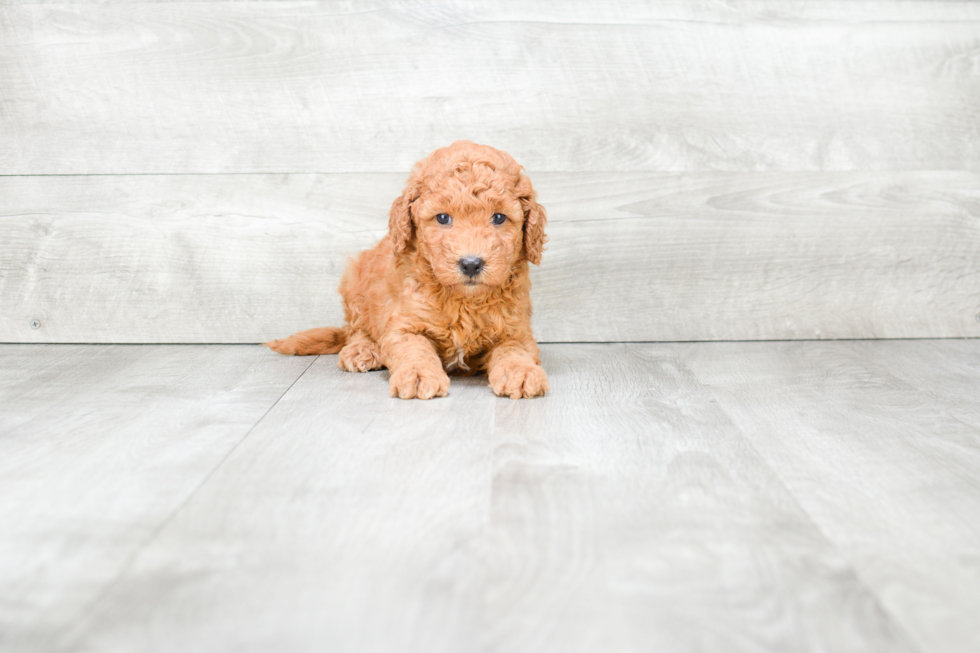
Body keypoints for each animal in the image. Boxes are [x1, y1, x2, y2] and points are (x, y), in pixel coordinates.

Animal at [264, 141, 548, 400]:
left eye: (499, 218)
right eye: (443, 218)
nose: (470, 263)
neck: (463, 301)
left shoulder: (516, 329)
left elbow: (514, 350)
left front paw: (521, 372)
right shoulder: (404, 325)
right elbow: (414, 349)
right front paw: (419, 374)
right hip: (354, 283)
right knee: (356, 330)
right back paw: (362, 350)